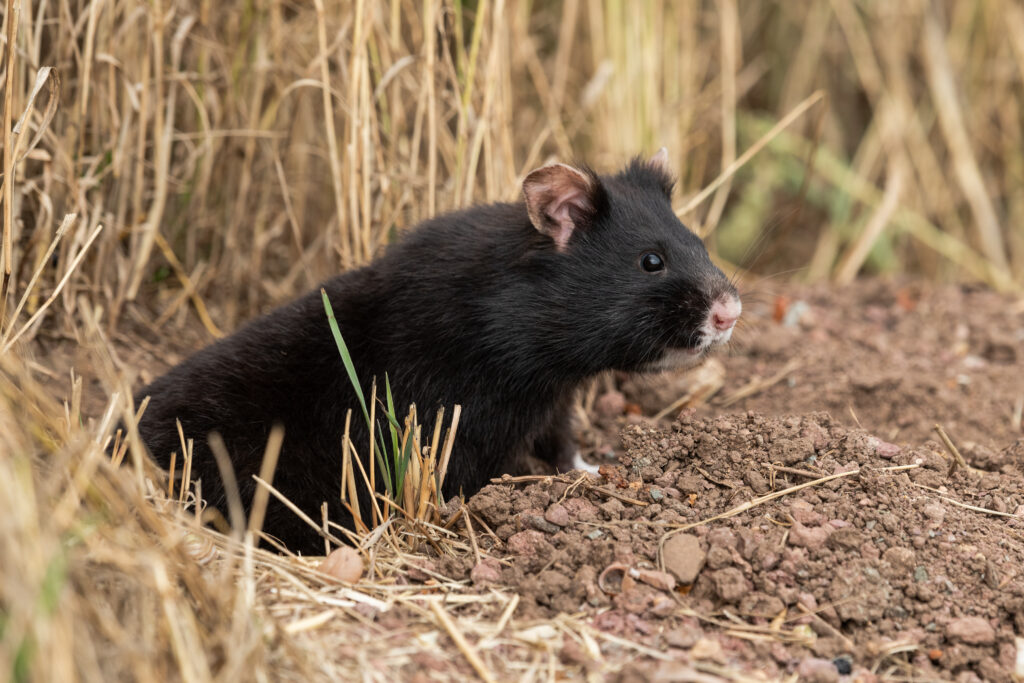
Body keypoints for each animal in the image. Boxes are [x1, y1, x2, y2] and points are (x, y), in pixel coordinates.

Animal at [134, 150, 741, 554]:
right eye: (651, 261)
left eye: (700, 243)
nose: (730, 312)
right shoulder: (460, 416)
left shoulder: (552, 400)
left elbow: (563, 444)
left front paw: (594, 469)